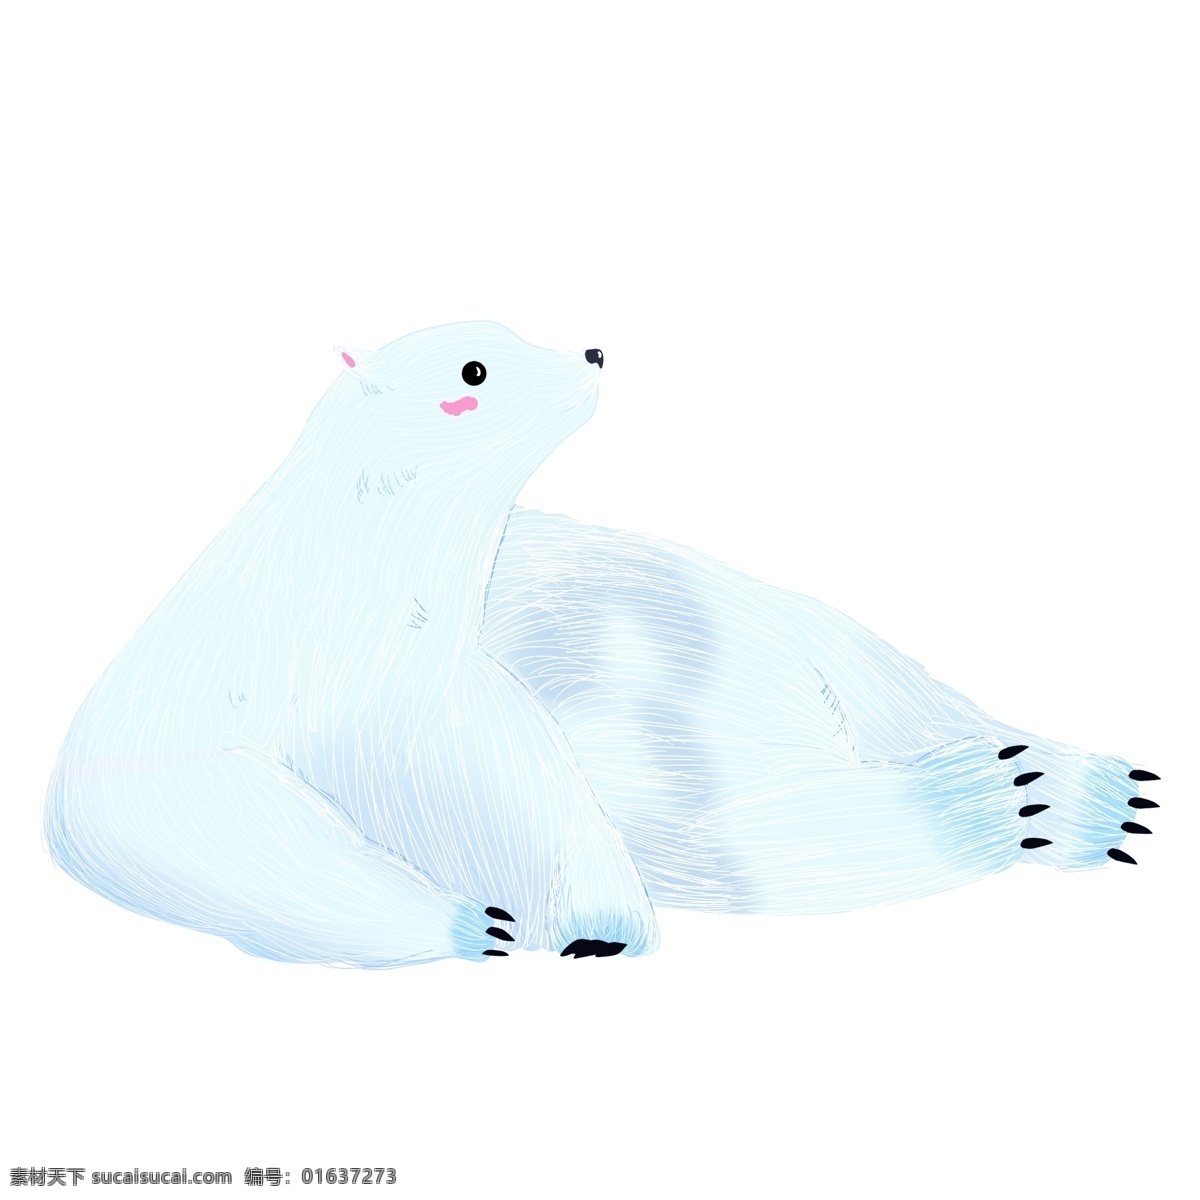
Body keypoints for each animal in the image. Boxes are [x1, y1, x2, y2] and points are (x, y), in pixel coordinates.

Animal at [45, 322, 658, 966]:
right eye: (475, 371)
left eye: (512, 334)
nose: (593, 352)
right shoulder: (319, 686)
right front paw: (488, 918)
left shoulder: (438, 688)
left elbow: (517, 780)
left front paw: (598, 924)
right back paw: (473, 923)